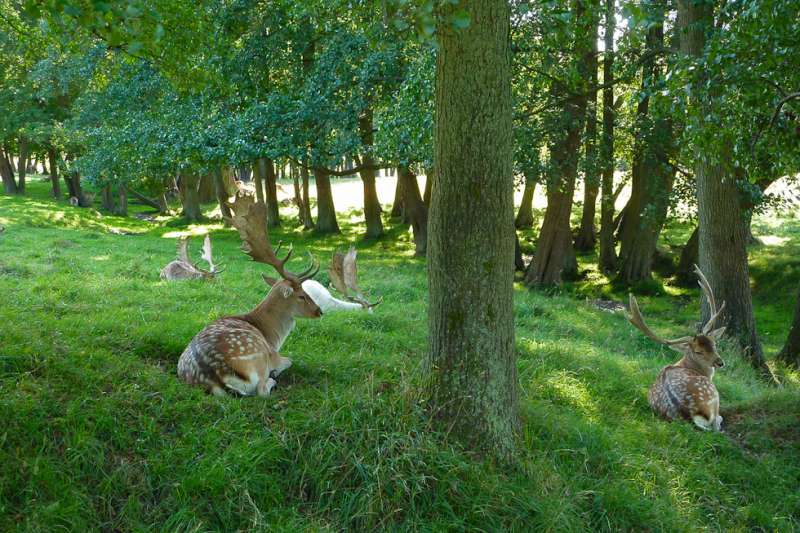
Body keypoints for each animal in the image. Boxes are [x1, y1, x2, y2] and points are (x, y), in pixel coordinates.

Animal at [178, 191, 322, 394]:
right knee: (262, 389)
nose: (319, 311)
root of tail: (214, 375)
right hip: (258, 355)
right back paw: (272, 378)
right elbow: (290, 360)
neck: (272, 335)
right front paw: (277, 372)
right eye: (302, 295)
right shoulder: (275, 354)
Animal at [628, 264, 728, 430]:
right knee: (715, 423)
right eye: (698, 352)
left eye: (714, 343)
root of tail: (689, 415)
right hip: (711, 392)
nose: (720, 362)